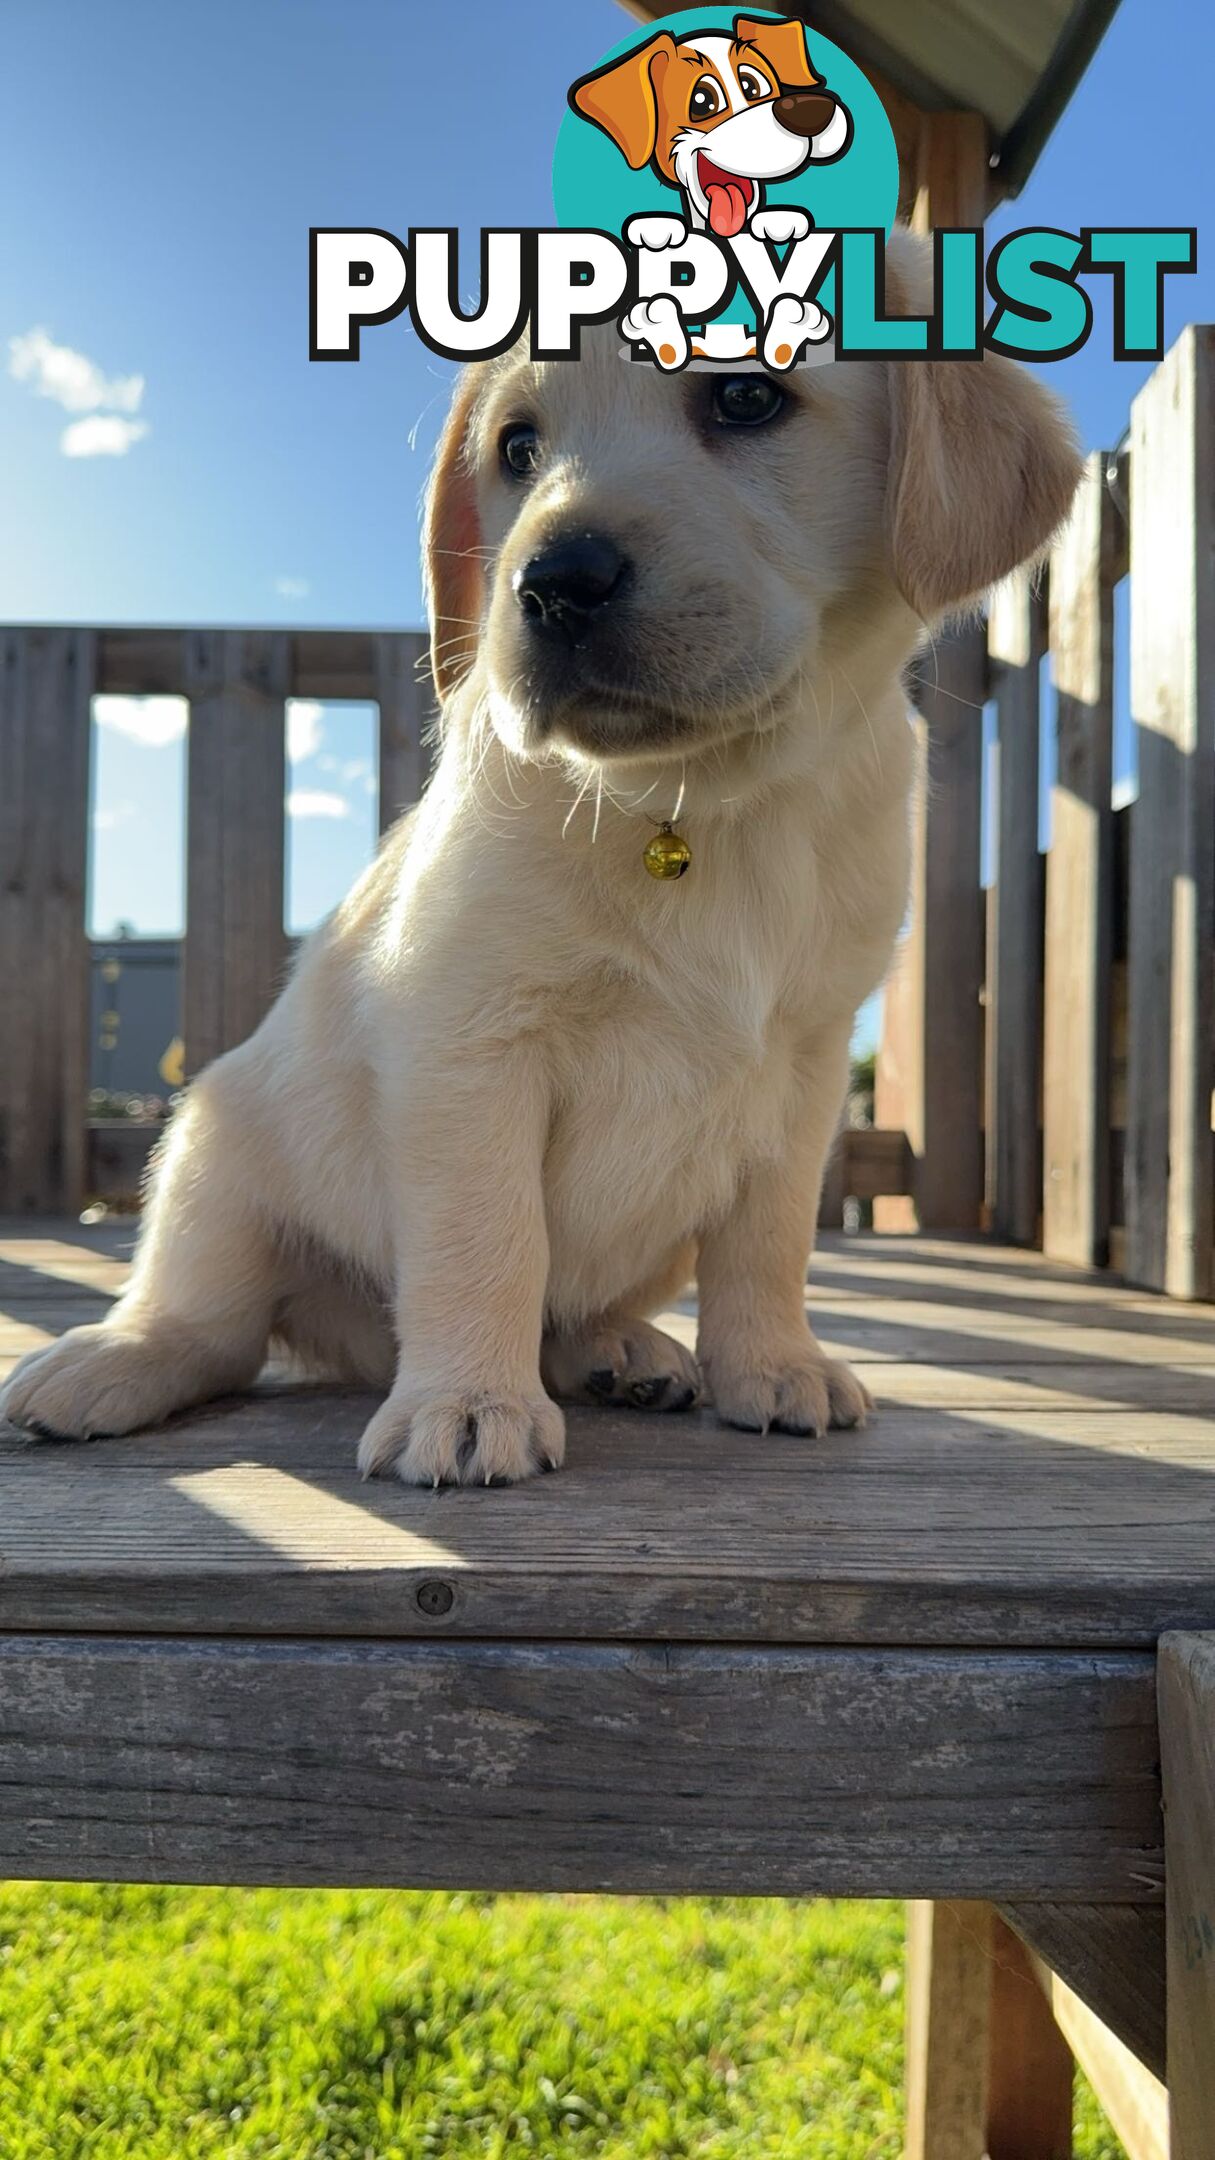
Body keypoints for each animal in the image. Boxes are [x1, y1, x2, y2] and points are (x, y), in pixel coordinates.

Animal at [4, 232, 1072, 1486]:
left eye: (747, 396)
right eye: (518, 448)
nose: (553, 583)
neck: (702, 802)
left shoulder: (806, 1064)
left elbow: (767, 1239)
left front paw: (771, 1364)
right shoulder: (466, 1039)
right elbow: (490, 1237)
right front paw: (468, 1403)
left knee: (579, 1313)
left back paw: (625, 1351)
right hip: (214, 1149)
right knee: (210, 1323)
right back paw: (111, 1363)